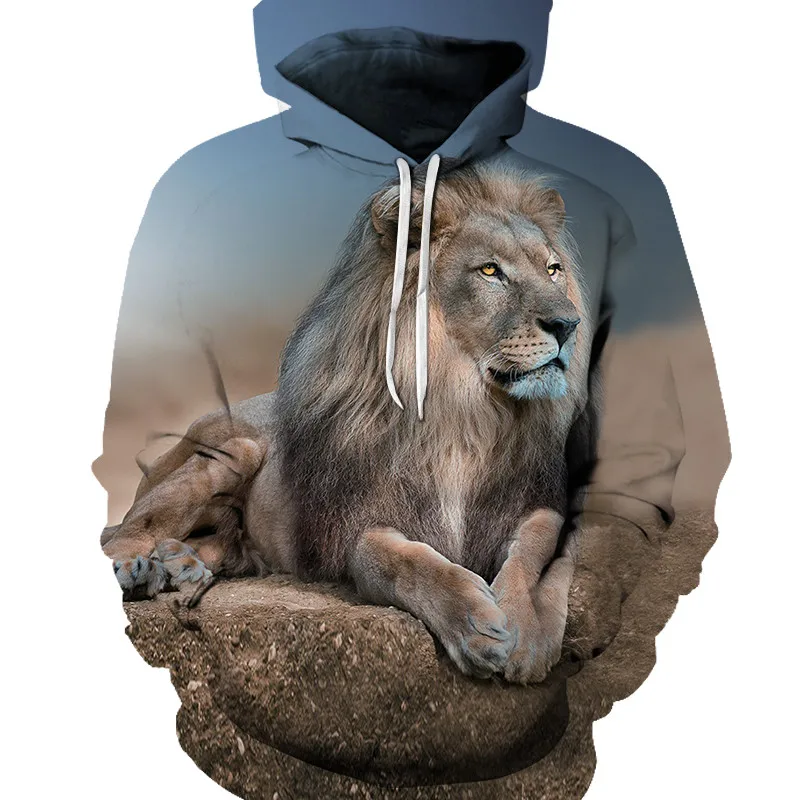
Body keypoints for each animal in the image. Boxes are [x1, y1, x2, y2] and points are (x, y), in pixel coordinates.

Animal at [102, 158, 599, 683]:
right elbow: (405, 562)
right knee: (127, 529)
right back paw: (136, 568)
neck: (465, 414)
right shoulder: (360, 524)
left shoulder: (541, 500)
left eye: (553, 269)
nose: (568, 325)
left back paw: (181, 563)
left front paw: (526, 630)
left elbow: (536, 547)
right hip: (231, 452)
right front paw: (474, 625)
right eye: (490, 271)